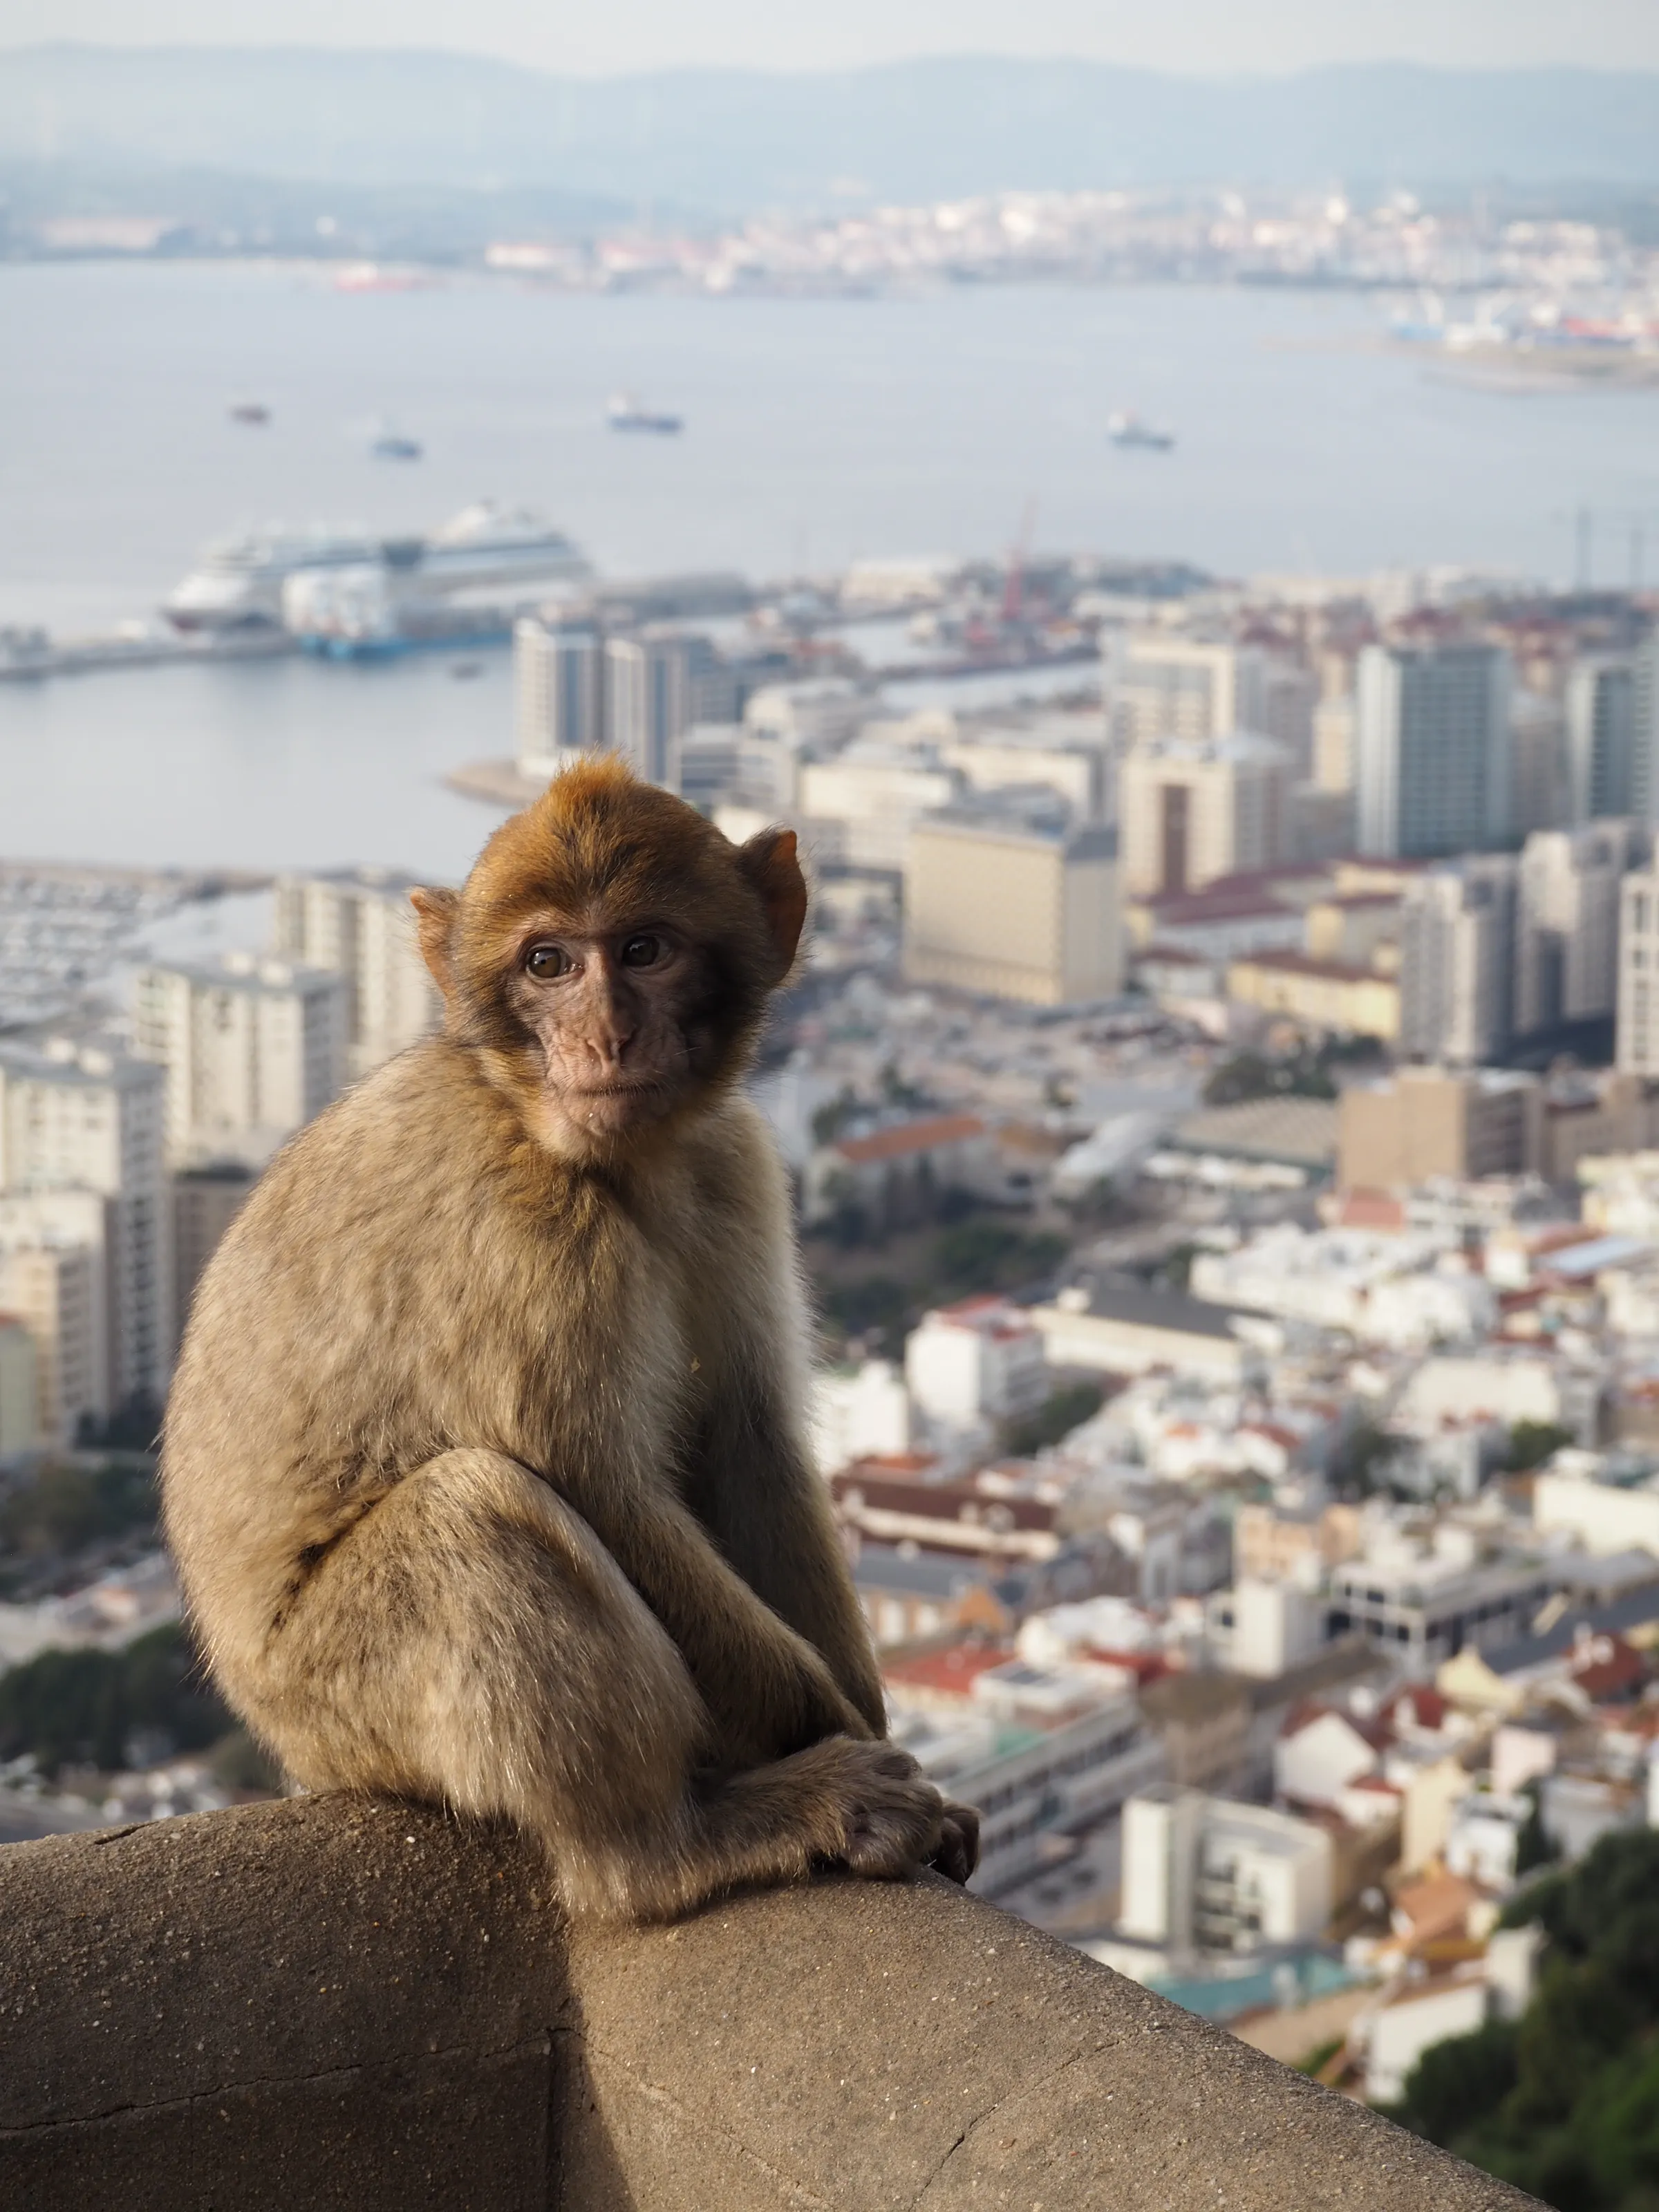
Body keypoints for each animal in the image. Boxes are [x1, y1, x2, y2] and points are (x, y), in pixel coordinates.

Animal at [162, 758, 978, 1920]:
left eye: (642, 950)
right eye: (547, 963)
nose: (604, 1037)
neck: (596, 1151)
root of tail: (289, 1749)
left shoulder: (732, 1162)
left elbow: (749, 1442)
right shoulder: (529, 1232)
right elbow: (597, 1487)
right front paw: (829, 1736)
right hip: (338, 1701)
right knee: (477, 1511)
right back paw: (671, 1846)